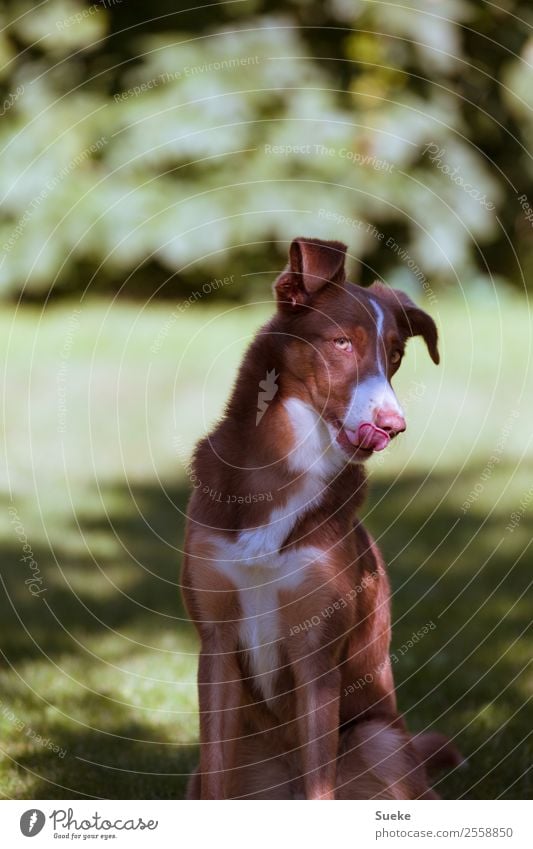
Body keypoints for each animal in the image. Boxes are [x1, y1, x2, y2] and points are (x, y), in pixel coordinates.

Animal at [183, 235, 444, 800]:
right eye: (341, 343)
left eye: (394, 355)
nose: (393, 425)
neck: (285, 466)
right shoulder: (215, 643)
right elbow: (215, 772)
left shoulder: (317, 653)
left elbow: (320, 786)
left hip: (378, 739)